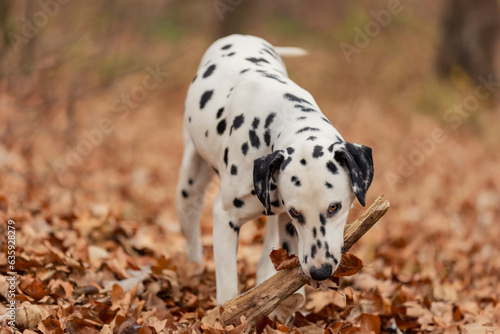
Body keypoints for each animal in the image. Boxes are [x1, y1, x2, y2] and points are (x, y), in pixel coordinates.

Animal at [174, 34, 374, 306]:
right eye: (296, 212)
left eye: (335, 207)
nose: (319, 271)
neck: (280, 117)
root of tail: (241, 36)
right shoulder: (225, 218)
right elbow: (228, 292)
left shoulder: (286, 224)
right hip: (188, 185)